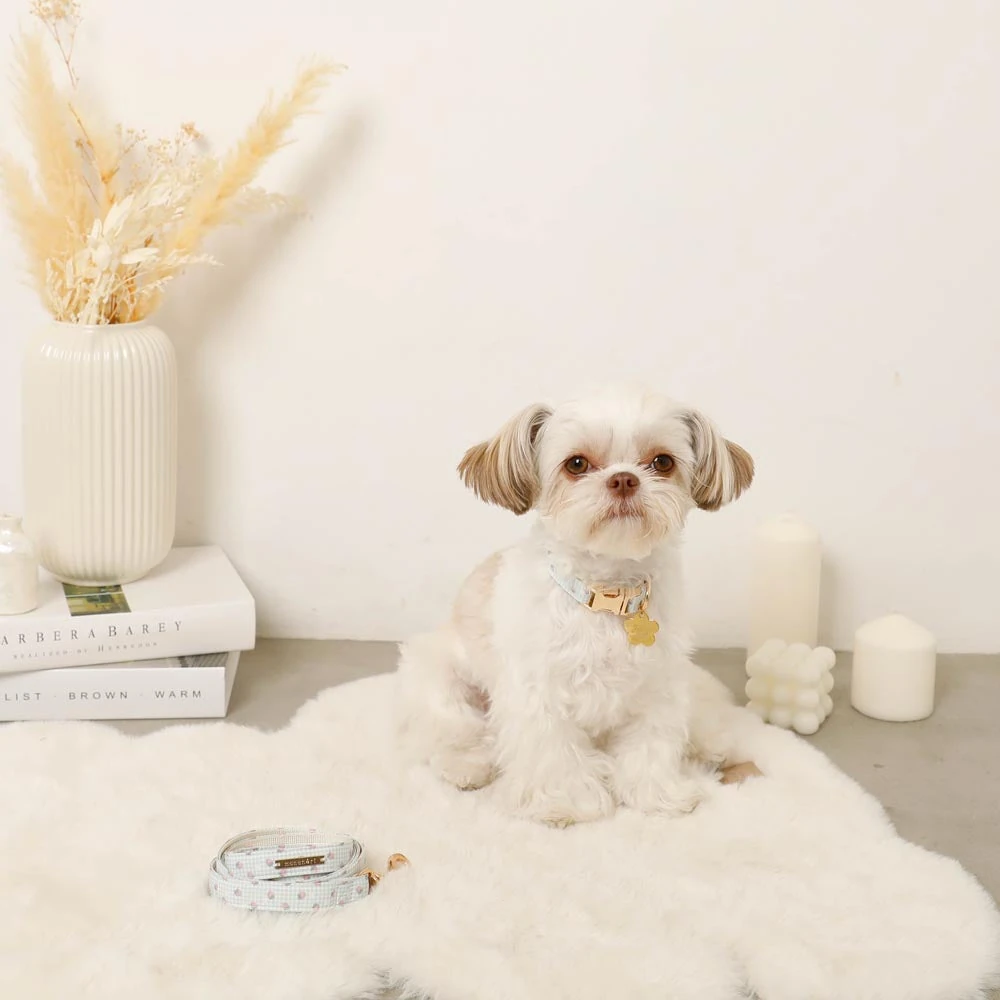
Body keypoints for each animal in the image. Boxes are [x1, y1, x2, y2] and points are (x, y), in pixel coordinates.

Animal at [395, 384, 763, 826]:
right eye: (576, 464)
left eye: (662, 462)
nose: (624, 479)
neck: (606, 597)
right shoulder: (538, 695)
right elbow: (553, 753)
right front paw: (565, 802)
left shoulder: (658, 688)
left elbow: (650, 746)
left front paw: (658, 795)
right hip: (443, 685)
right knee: (457, 732)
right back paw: (467, 765)